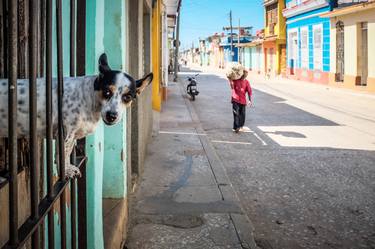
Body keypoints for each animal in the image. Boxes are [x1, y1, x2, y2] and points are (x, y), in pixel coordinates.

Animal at [0, 53, 153, 178]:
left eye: (127, 97)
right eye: (107, 92)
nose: (112, 115)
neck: (88, 97)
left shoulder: (71, 136)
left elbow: (67, 153)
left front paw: (68, 167)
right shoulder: (66, 133)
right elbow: (62, 153)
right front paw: (65, 171)